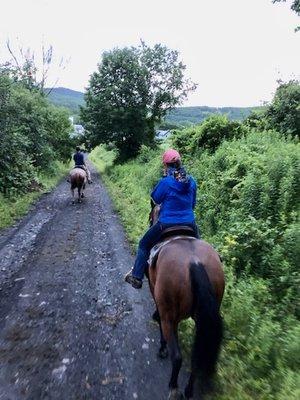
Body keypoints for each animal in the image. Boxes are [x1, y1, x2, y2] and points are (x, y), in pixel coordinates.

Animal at [148, 206, 225, 400]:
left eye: (150, 215)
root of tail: (195, 263)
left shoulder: (156, 294)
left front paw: (162, 348)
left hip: (170, 316)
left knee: (177, 357)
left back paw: (174, 387)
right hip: (204, 317)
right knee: (196, 357)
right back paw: (189, 390)